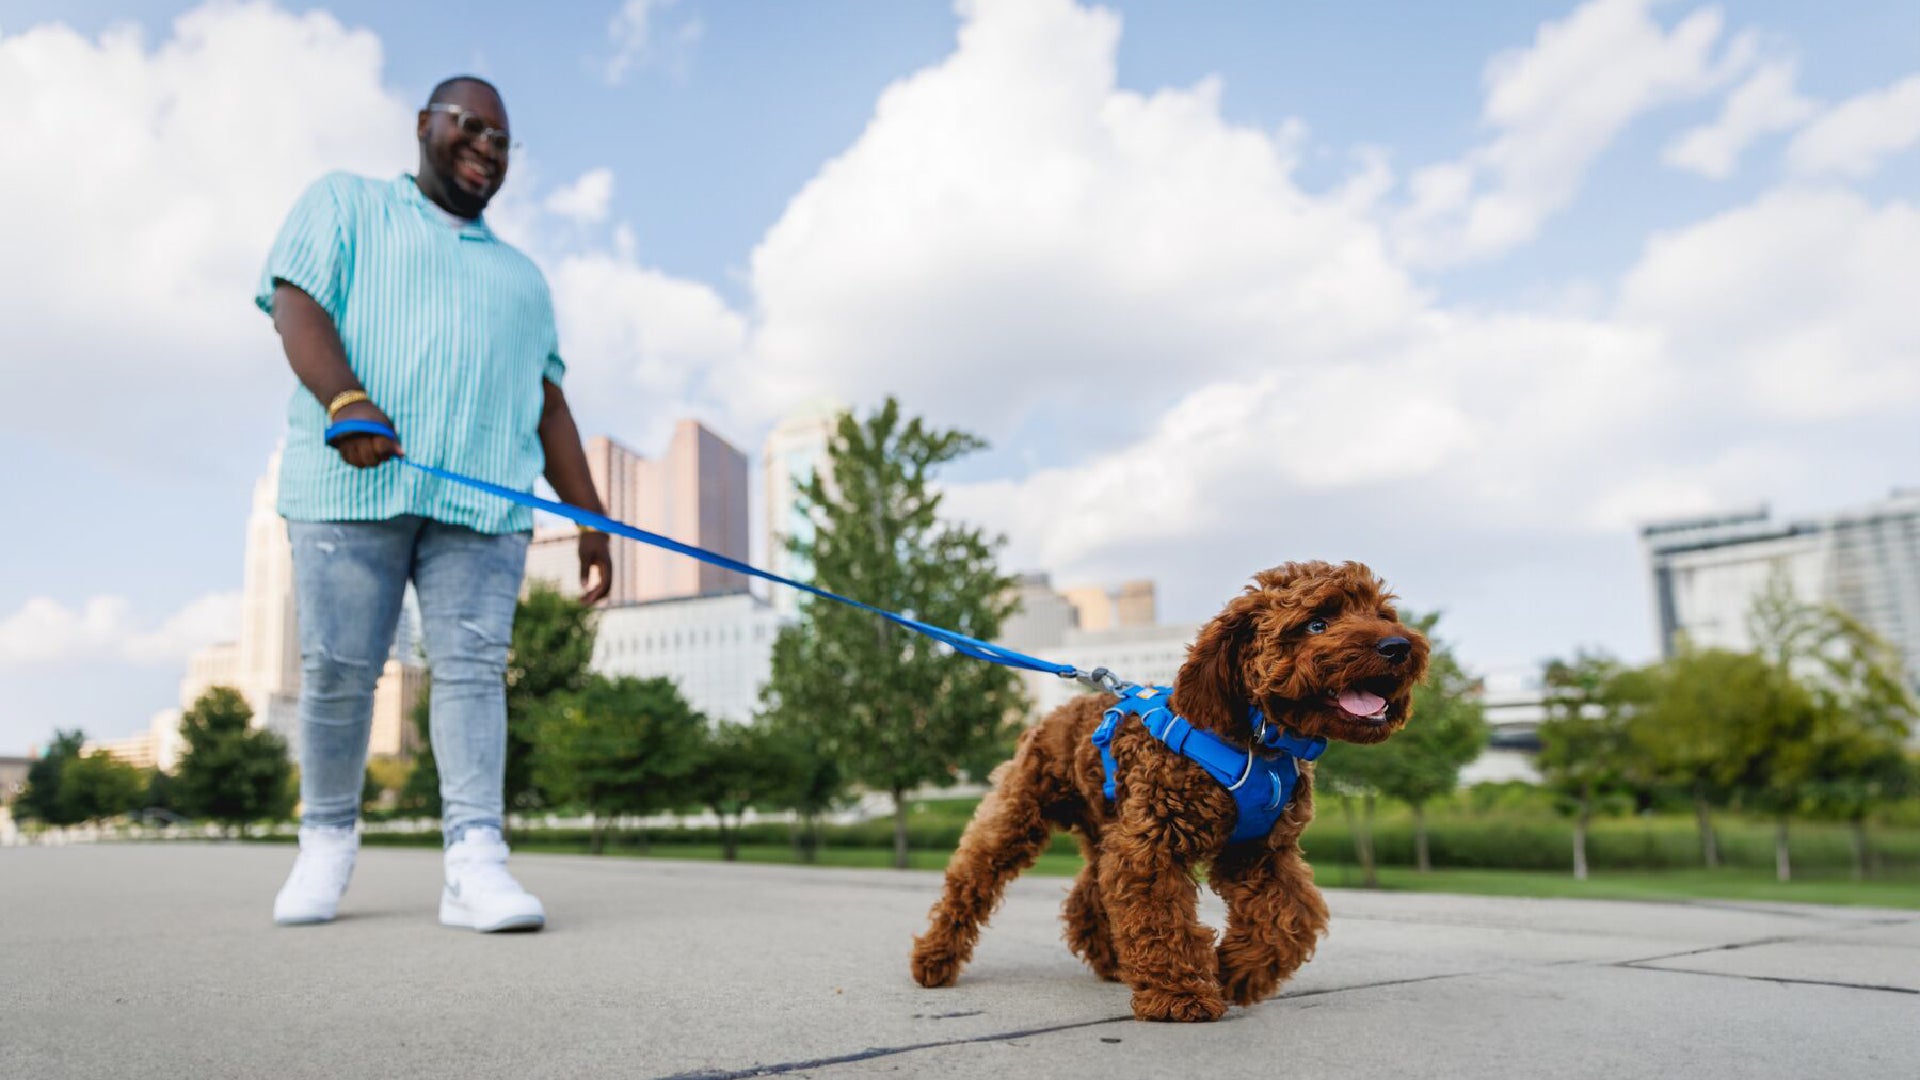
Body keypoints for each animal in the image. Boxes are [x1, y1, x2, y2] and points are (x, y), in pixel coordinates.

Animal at [910, 557, 1428, 1022]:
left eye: (1382, 613)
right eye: (1317, 622)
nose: (1399, 646)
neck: (1259, 742)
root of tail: (1050, 716)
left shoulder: (1259, 853)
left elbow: (1291, 920)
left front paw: (1233, 973)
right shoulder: (1152, 847)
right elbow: (1161, 921)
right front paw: (1181, 996)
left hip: (1108, 828)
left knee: (1087, 895)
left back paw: (1111, 961)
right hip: (1020, 816)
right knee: (971, 881)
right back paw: (934, 959)